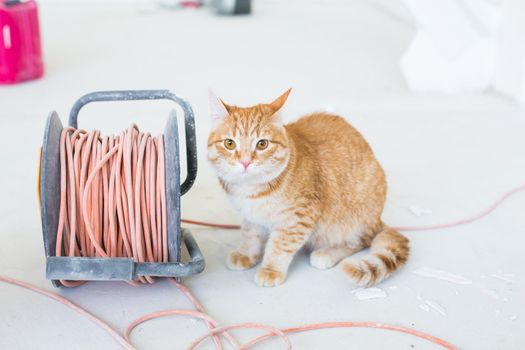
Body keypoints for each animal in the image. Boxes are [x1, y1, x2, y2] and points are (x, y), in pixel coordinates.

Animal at [207, 89, 408, 288]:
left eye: (262, 144)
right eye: (230, 143)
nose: (245, 162)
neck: (251, 192)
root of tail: (377, 219)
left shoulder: (297, 218)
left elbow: (280, 245)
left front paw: (271, 270)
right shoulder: (251, 217)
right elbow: (251, 236)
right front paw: (246, 254)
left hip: (352, 219)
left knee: (361, 240)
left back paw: (327, 253)